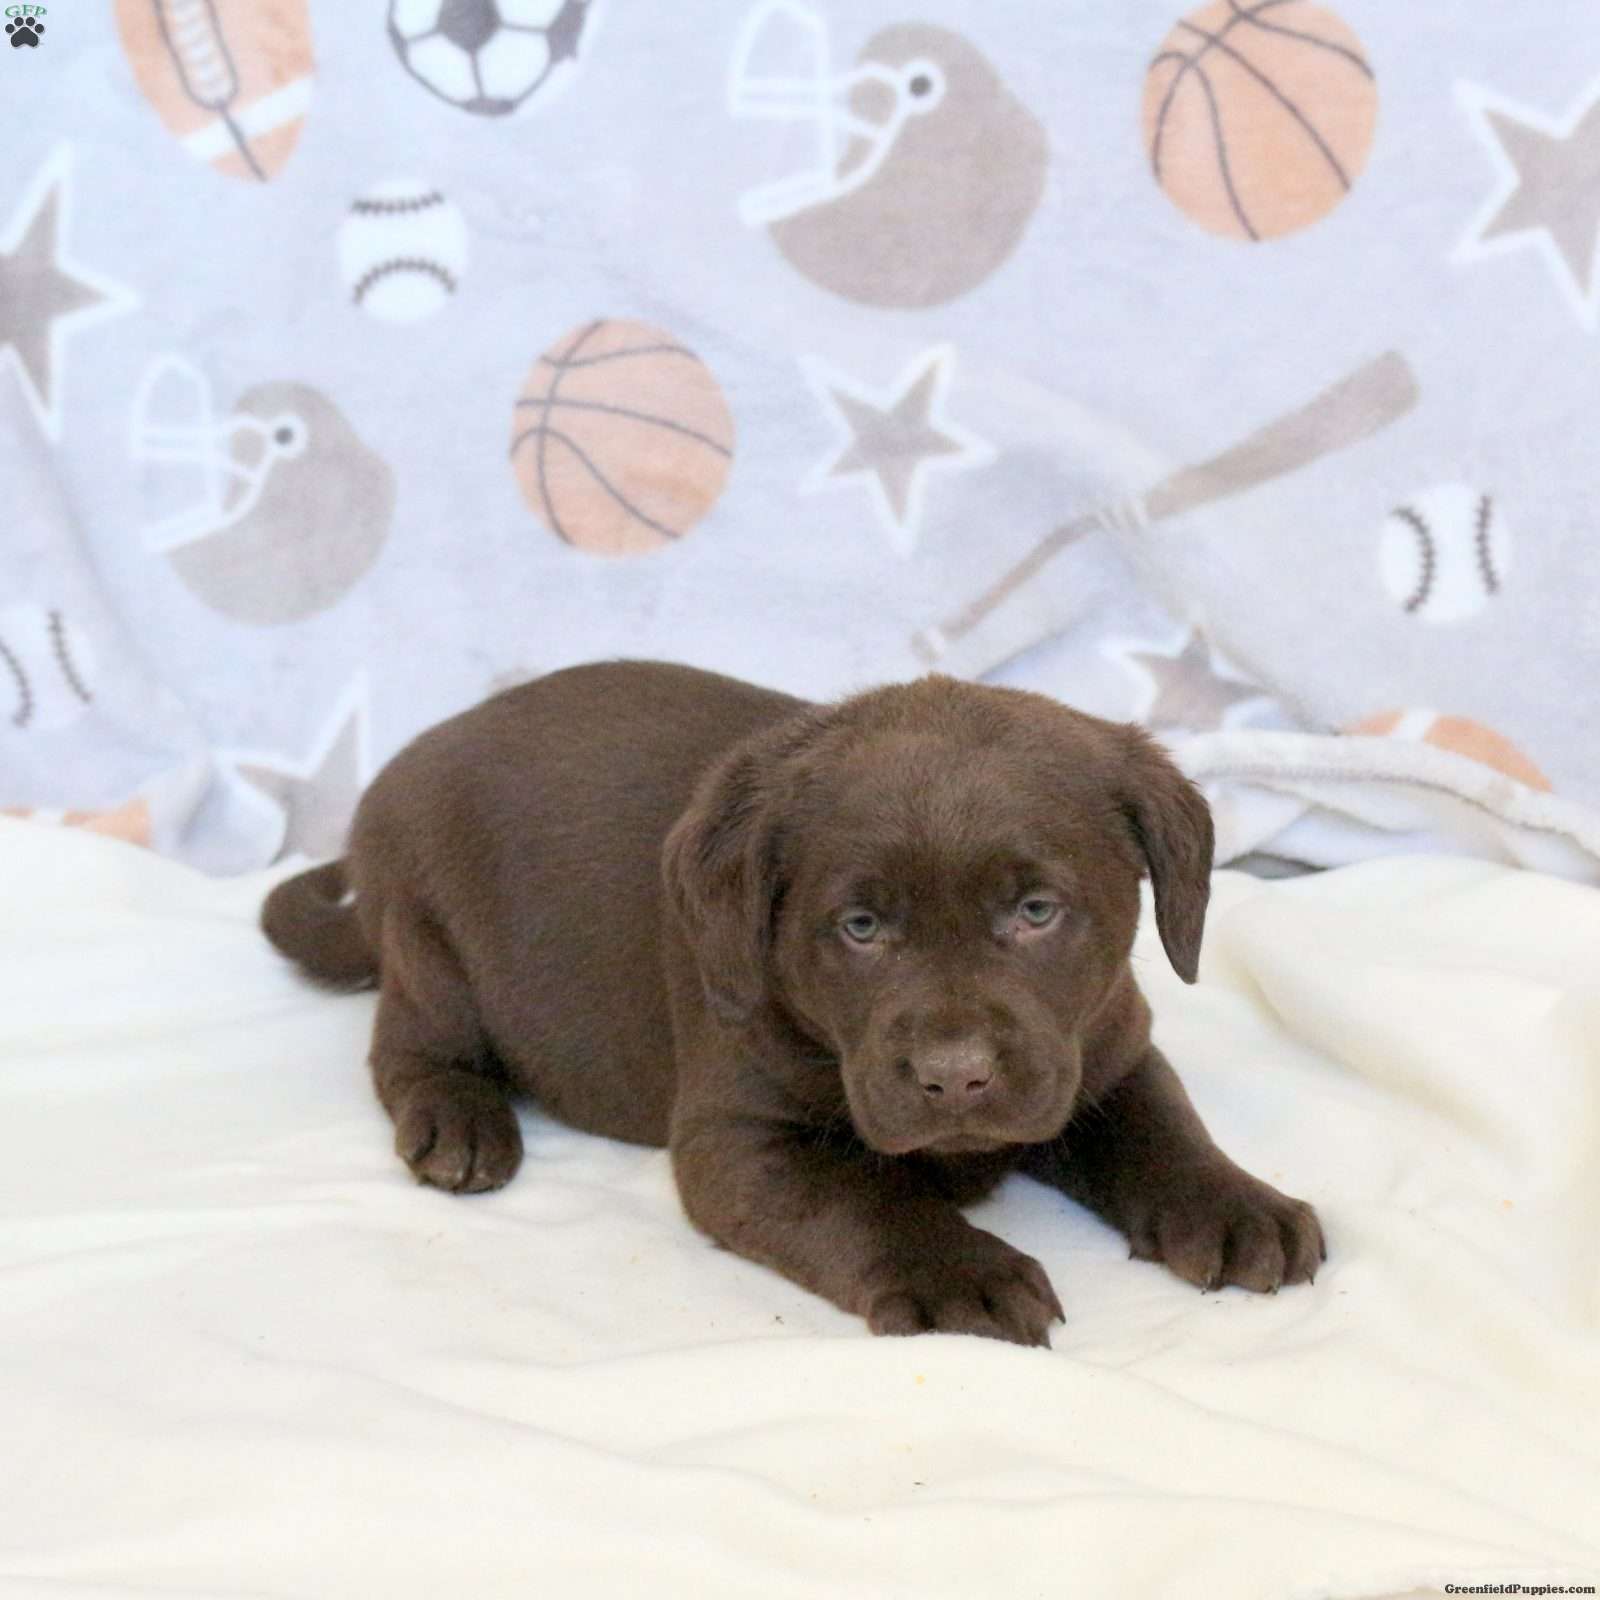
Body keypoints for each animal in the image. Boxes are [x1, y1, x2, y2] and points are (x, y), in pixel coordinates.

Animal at [262, 660, 1323, 1345]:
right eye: (860, 927)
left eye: (1035, 911)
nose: (955, 1079)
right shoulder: (736, 1140)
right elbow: (859, 1197)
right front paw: (960, 1273)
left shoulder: (1105, 1048)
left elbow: (1165, 1127)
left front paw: (1239, 1206)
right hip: (428, 934)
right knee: (407, 1043)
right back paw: (460, 1123)